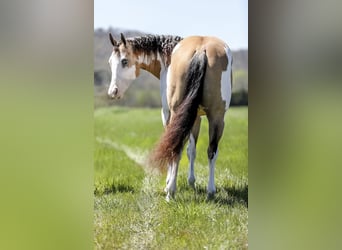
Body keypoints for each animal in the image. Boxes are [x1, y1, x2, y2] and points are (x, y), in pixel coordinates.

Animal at [108, 32, 234, 200]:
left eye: (124, 61)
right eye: (110, 62)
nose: (112, 92)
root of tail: (202, 50)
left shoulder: (167, 113)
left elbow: (171, 145)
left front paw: (169, 182)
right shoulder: (196, 117)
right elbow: (191, 150)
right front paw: (191, 181)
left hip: (178, 112)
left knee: (176, 147)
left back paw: (170, 192)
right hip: (217, 116)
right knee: (211, 150)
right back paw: (210, 191)